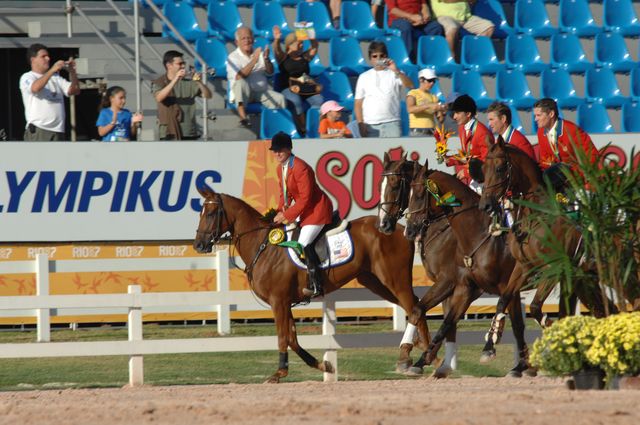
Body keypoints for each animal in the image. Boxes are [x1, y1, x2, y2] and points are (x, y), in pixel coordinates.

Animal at [191, 187, 430, 382]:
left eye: (210, 214)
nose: (199, 245)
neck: (263, 245)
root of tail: (399, 229)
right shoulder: (285, 302)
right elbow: (292, 339)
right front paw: (323, 365)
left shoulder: (278, 301)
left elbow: (283, 337)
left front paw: (279, 373)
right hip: (376, 282)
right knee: (415, 305)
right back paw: (419, 348)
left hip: (394, 279)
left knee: (414, 306)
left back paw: (423, 355)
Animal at [404, 161, 536, 376]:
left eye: (419, 194)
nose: (409, 230)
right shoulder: (464, 287)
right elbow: (444, 320)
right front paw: (422, 360)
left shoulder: (502, 287)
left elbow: (516, 324)